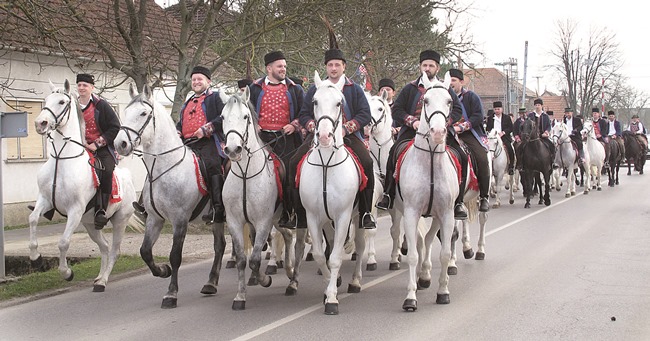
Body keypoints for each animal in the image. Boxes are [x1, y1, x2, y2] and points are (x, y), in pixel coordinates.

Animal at [30, 79, 135, 290]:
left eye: (62, 101)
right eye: (47, 98)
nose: (40, 123)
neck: (62, 159)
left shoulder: (75, 210)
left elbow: (63, 242)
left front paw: (67, 273)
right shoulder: (45, 200)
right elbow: (33, 219)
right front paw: (37, 259)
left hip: (120, 221)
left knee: (114, 250)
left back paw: (102, 281)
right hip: (90, 224)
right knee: (104, 247)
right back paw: (99, 277)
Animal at [115, 83, 227, 306]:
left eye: (143, 113)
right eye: (126, 112)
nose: (119, 144)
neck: (167, 167)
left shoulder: (180, 219)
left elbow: (175, 255)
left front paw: (171, 293)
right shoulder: (155, 219)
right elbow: (145, 251)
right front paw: (162, 270)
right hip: (218, 219)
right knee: (220, 246)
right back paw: (211, 283)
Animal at [298, 70, 364, 314]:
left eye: (339, 103)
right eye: (315, 101)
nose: (325, 136)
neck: (327, 162)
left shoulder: (343, 215)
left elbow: (335, 257)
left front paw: (333, 299)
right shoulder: (313, 216)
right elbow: (319, 255)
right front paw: (329, 286)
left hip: (359, 217)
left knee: (361, 246)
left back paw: (355, 281)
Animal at [392, 72, 458, 310]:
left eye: (449, 101)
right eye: (426, 101)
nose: (437, 133)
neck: (429, 159)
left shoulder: (447, 214)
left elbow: (445, 254)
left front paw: (443, 292)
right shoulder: (411, 213)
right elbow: (412, 254)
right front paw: (410, 298)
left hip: (437, 215)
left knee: (427, 240)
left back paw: (426, 275)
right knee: (421, 241)